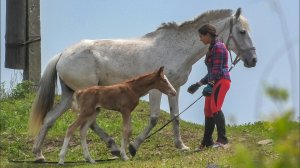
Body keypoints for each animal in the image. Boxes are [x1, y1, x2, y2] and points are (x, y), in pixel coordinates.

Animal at [29, 7, 256, 161]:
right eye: (242, 32)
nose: (253, 60)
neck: (175, 48)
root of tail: (62, 54)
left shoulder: (174, 89)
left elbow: (175, 117)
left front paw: (181, 146)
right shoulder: (156, 90)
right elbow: (154, 118)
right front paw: (133, 147)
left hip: (70, 96)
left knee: (50, 118)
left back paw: (39, 154)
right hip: (85, 97)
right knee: (86, 123)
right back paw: (113, 147)